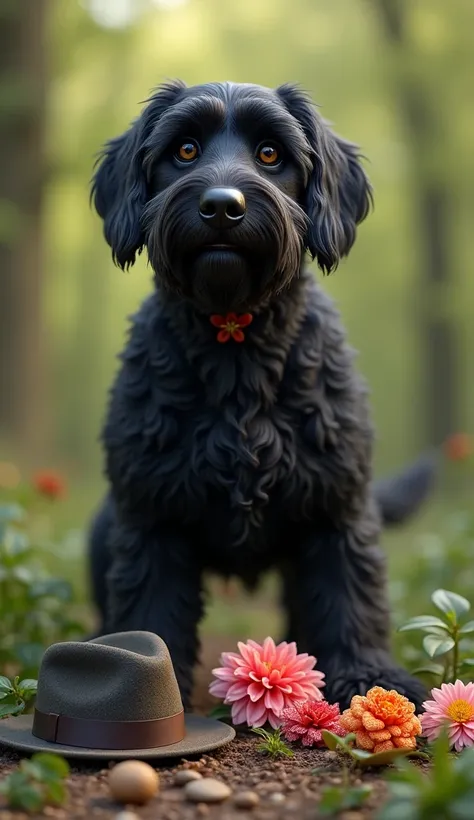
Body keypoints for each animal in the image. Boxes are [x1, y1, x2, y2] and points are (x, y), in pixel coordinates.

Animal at [87, 83, 428, 712]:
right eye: (185, 149)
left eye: (271, 154)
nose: (223, 206)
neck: (237, 352)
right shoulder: (150, 518)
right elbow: (151, 610)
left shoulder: (338, 511)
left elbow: (350, 599)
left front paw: (369, 680)